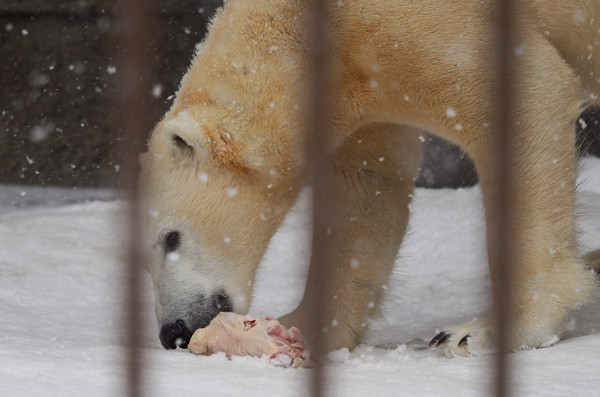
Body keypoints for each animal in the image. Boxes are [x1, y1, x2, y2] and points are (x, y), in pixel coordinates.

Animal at [141, 0, 600, 352]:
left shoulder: (413, 23)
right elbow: (365, 194)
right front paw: (302, 325)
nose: (172, 332)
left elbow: (525, 92)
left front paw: (478, 331)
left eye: (171, 238)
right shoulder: (363, 81)